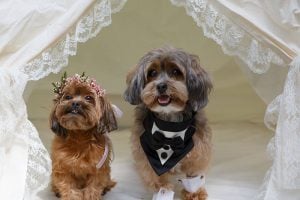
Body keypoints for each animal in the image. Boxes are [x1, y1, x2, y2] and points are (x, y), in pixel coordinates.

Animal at [123, 46, 212, 200]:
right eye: (152, 72)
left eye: (175, 71)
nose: (161, 86)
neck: (168, 122)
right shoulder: (146, 155)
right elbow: (157, 181)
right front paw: (163, 192)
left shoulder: (198, 150)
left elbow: (194, 175)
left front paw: (194, 193)